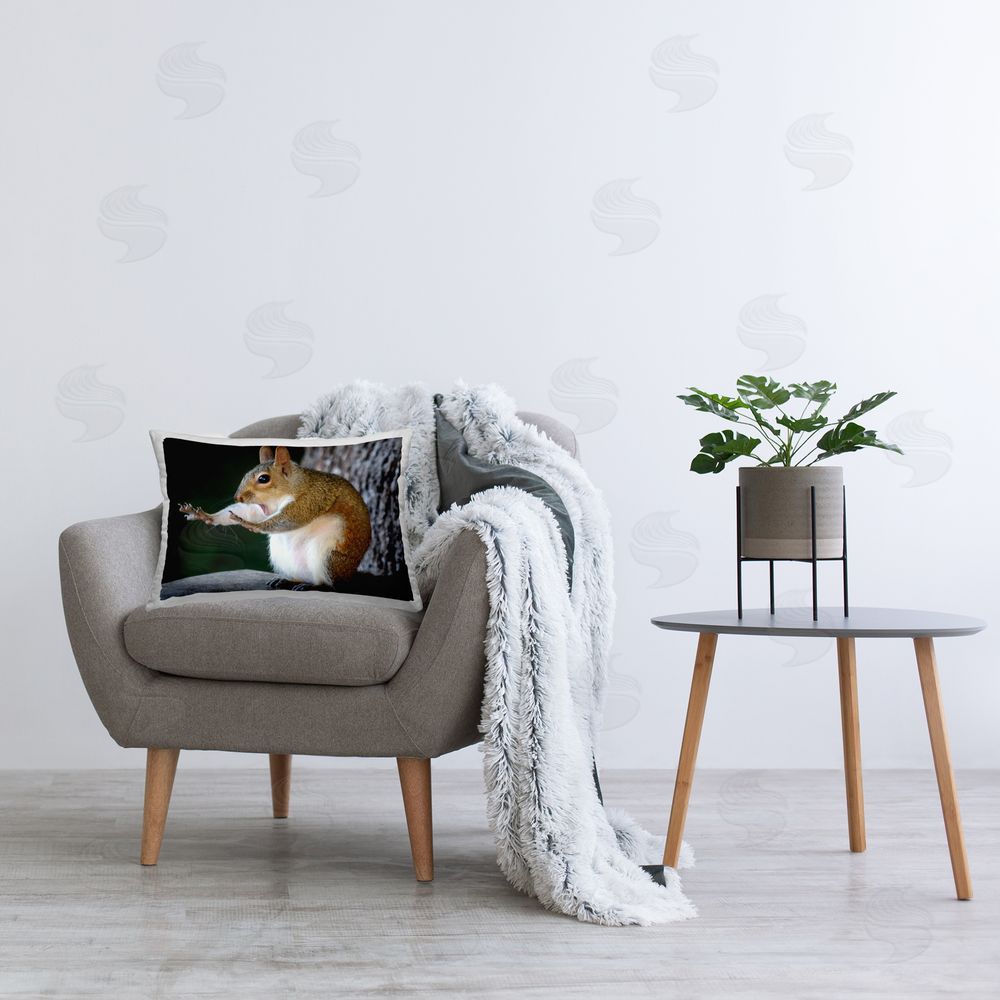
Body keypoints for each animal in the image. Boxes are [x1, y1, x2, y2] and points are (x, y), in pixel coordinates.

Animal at [180, 445, 372, 588]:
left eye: (264, 479)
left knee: (330, 583)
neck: (293, 486)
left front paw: (253, 526)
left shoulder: (312, 498)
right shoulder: (262, 509)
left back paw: (314, 585)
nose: (238, 497)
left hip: (328, 557)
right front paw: (206, 516)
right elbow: (249, 512)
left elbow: (292, 518)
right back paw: (287, 580)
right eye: (246, 474)